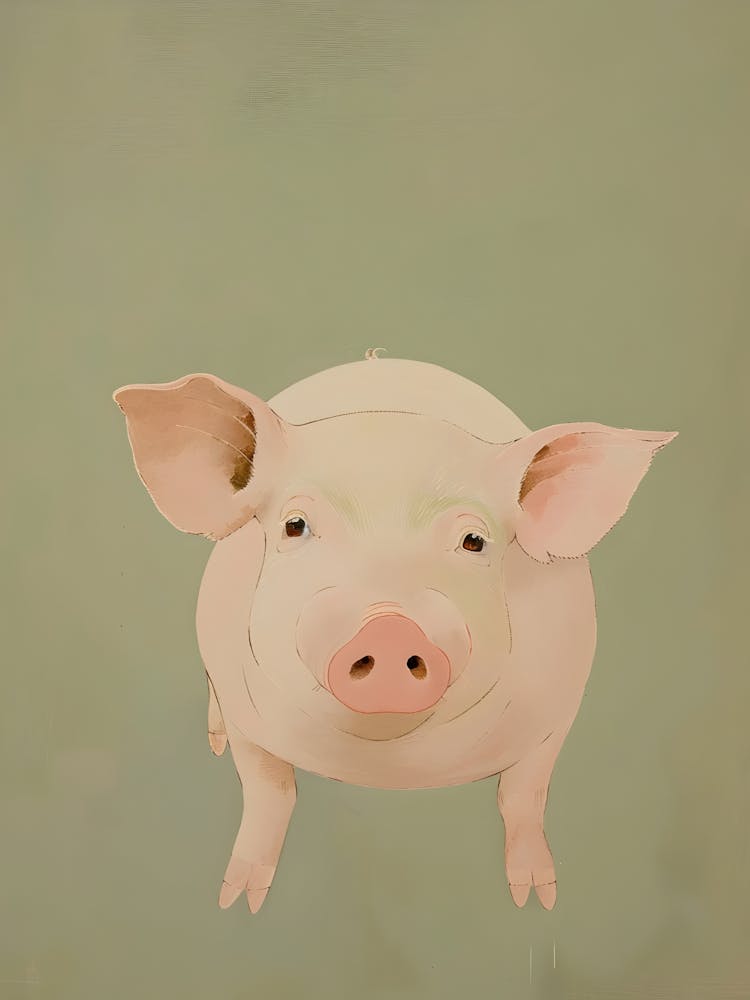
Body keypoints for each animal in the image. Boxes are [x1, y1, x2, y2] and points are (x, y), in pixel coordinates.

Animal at [114, 353, 676, 914]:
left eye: (474, 540)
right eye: (295, 525)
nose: (388, 628)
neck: (389, 767)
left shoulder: (560, 708)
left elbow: (524, 793)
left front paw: (537, 900)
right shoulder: (247, 713)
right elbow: (268, 790)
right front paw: (238, 902)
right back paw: (213, 743)